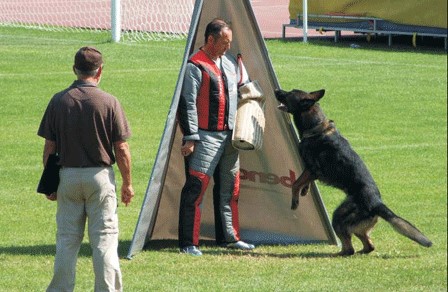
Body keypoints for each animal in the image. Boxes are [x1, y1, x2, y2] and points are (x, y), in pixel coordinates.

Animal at [274, 88, 432, 256]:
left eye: (290, 93)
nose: (277, 90)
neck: (315, 126)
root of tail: (377, 203)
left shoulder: (312, 169)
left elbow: (295, 183)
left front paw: (295, 201)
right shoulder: (310, 171)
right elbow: (304, 182)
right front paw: (305, 191)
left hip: (339, 217)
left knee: (350, 248)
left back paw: (339, 253)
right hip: (355, 226)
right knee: (368, 245)